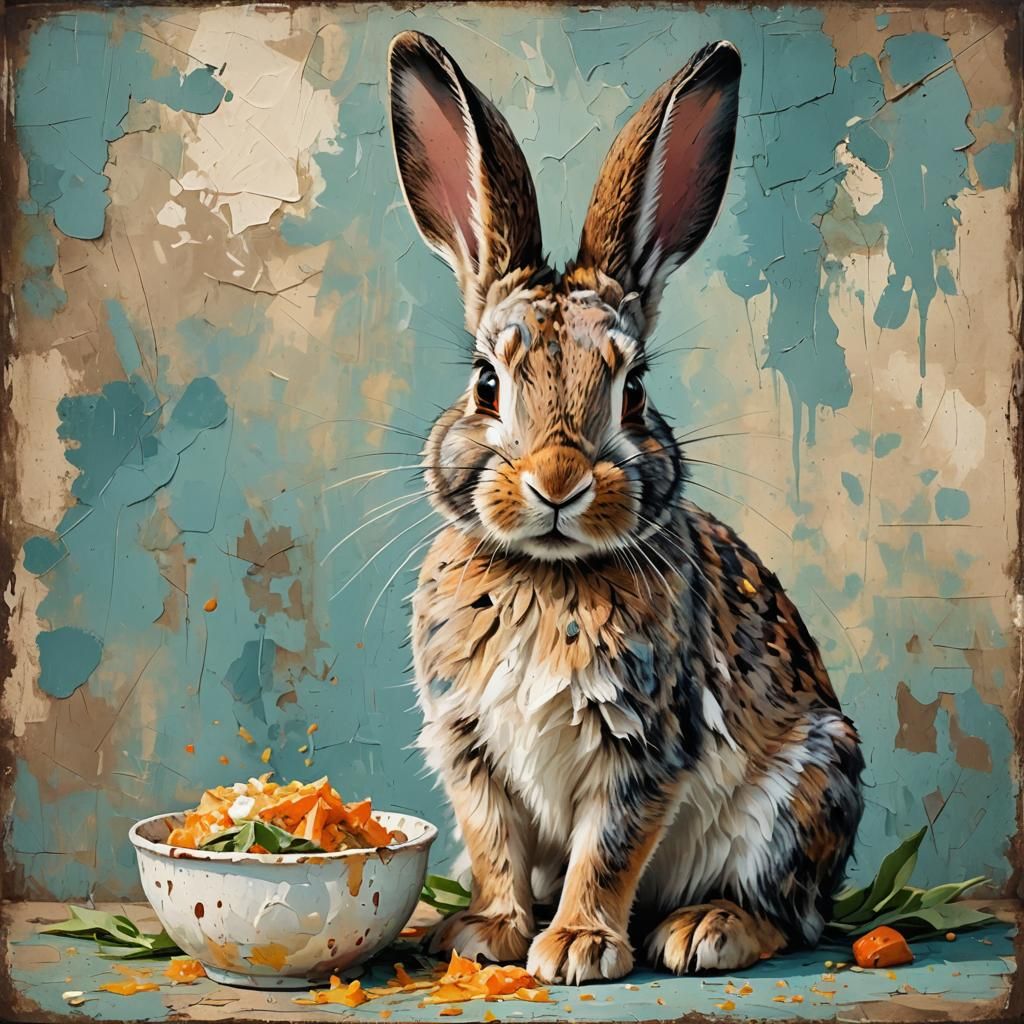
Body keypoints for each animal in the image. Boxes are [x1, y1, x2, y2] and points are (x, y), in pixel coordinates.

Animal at [387, 30, 864, 984]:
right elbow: (493, 843)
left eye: (634, 388)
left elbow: (606, 850)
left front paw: (576, 947)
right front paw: (487, 934)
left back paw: (704, 930)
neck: (547, 573)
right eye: (486, 382)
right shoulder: (469, 748)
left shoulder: (645, 744)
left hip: (803, 794)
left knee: (794, 919)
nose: (558, 481)